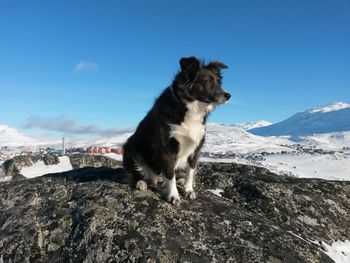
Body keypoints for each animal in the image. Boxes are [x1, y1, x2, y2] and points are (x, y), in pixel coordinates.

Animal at [123, 57, 230, 206]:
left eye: (219, 82)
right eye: (207, 81)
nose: (228, 95)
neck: (190, 107)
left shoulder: (196, 148)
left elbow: (190, 172)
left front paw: (188, 190)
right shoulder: (167, 148)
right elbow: (170, 175)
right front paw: (173, 195)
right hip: (131, 149)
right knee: (138, 175)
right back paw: (141, 183)